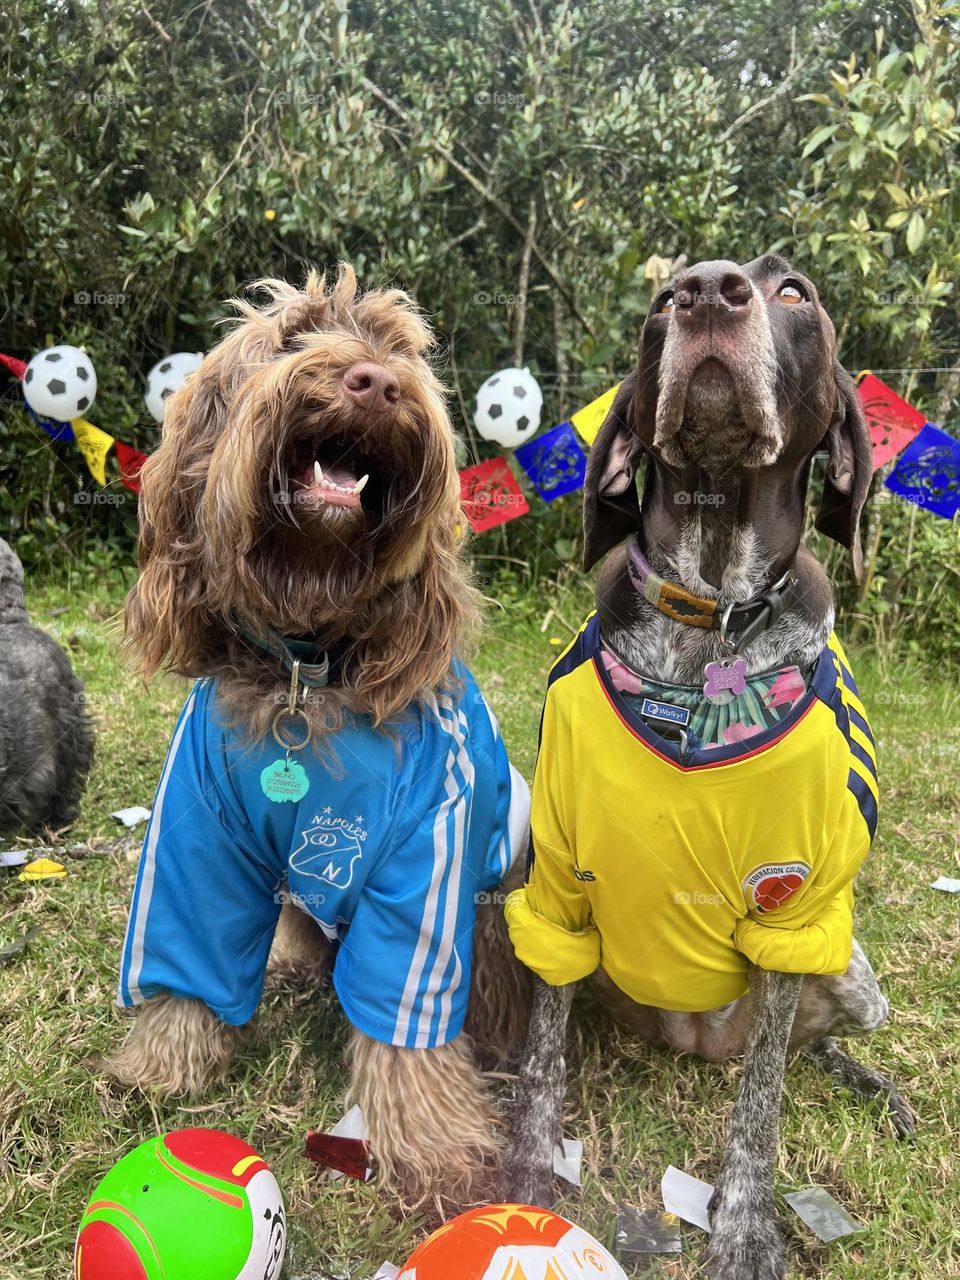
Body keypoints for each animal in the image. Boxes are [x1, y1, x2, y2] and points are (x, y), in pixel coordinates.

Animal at [113, 267, 535, 1208]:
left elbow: (406, 1019)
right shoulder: (195, 830)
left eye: (401, 351)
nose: (373, 383)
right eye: (294, 338)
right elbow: (188, 947)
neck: (311, 667)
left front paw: (433, 1147)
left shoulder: (429, 854)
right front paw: (164, 1063)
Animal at [506, 257, 911, 1280]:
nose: (706, 290)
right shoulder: (555, 883)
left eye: (796, 292)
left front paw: (742, 1229)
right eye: (659, 303)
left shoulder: (797, 909)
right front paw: (524, 1176)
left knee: (797, 1049)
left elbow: (760, 1109)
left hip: (851, 973)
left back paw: (864, 1081)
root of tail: (698, 1042)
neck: (712, 614)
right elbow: (540, 1059)